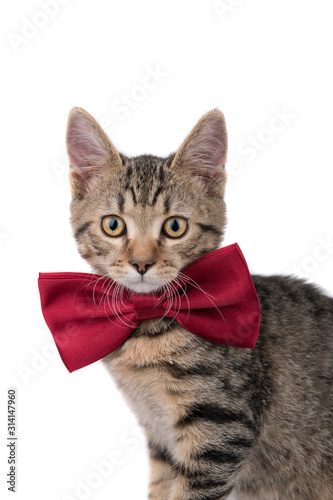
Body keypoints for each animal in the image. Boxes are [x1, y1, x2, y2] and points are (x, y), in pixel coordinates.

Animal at [65, 107, 332, 498]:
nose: (141, 263)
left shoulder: (221, 431)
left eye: (175, 227)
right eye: (113, 225)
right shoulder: (161, 438)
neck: (149, 328)